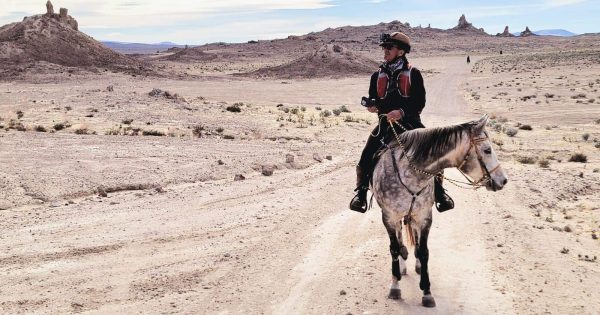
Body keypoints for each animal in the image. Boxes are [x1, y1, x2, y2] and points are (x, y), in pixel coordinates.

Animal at [372, 115, 508, 308]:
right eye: (487, 150)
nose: (503, 180)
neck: (412, 174)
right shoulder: (389, 217)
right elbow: (394, 249)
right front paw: (395, 287)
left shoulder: (424, 217)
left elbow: (424, 251)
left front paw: (427, 292)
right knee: (399, 240)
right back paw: (403, 265)